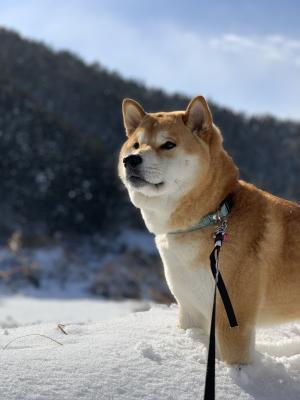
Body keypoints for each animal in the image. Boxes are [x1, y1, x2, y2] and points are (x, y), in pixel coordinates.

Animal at [118, 95, 298, 364]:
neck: (211, 216)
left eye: (168, 145)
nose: (130, 160)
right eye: (136, 145)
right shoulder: (190, 310)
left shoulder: (232, 321)